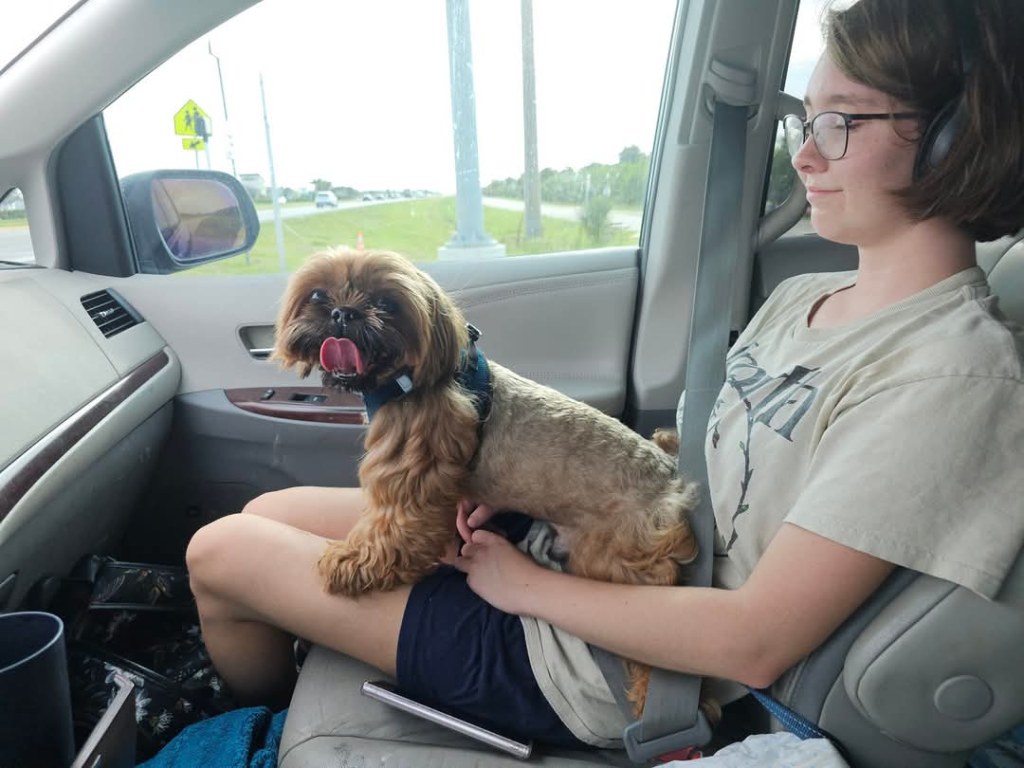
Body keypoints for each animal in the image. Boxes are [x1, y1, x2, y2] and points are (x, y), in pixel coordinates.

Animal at [272, 246, 700, 715]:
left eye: (386, 303)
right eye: (318, 294)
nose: (343, 313)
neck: (413, 382)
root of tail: (672, 482)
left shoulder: (412, 477)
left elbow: (394, 529)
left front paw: (354, 560)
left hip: (615, 563)